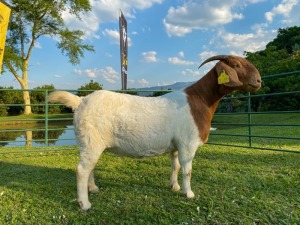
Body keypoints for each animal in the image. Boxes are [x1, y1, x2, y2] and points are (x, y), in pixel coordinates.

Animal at [48, 55, 262, 210]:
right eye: (236, 64)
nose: (259, 80)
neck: (199, 100)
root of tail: (80, 101)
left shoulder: (176, 145)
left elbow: (175, 165)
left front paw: (174, 186)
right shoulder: (188, 144)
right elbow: (187, 169)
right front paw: (189, 193)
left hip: (90, 144)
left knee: (89, 167)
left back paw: (93, 189)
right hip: (91, 141)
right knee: (82, 169)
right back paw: (85, 204)